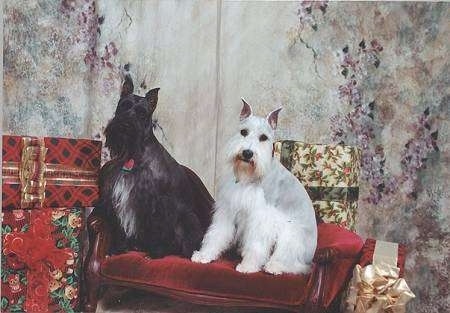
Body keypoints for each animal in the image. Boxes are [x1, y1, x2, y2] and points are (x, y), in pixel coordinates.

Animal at [97, 75, 214, 256]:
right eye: (123, 106)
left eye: (142, 113)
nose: (124, 126)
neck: (134, 155)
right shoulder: (119, 196)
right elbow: (119, 227)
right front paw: (118, 248)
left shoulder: (157, 203)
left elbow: (158, 228)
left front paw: (157, 252)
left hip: (187, 219)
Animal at [191, 99, 316, 272]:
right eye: (244, 132)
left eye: (263, 137)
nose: (247, 153)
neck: (249, 177)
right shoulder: (228, 209)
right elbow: (217, 233)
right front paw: (204, 255)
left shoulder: (261, 217)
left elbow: (256, 244)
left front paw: (248, 266)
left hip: (292, 235)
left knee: (294, 263)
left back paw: (274, 266)